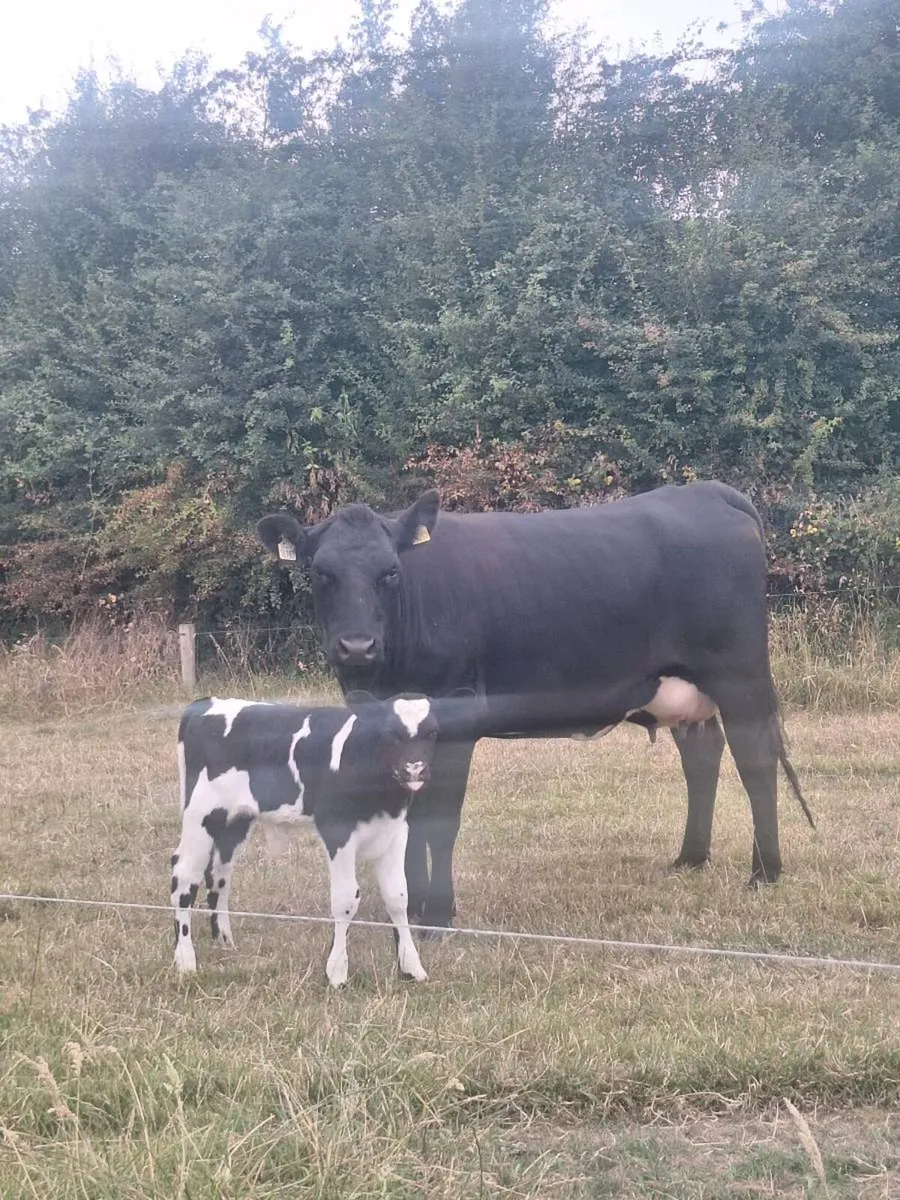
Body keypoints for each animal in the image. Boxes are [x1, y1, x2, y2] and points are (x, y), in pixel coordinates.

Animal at [170, 693, 439, 986]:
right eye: (390, 733)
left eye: (433, 732)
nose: (414, 770)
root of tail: (206, 703)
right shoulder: (337, 830)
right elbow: (346, 900)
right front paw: (337, 972)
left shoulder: (394, 830)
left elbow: (398, 896)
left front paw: (411, 967)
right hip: (200, 815)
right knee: (183, 877)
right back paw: (185, 960)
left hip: (234, 822)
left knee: (218, 875)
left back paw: (224, 941)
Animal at [256, 480, 814, 936]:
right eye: (321, 573)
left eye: (390, 573)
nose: (356, 646)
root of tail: (710, 492)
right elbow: (409, 819)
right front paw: (410, 906)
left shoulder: (456, 718)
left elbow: (440, 821)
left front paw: (437, 915)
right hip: (683, 691)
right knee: (703, 756)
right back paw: (691, 859)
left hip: (739, 676)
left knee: (755, 762)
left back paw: (765, 872)